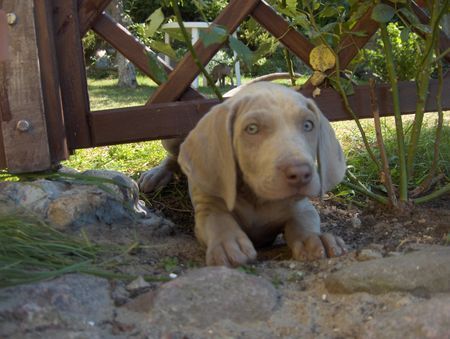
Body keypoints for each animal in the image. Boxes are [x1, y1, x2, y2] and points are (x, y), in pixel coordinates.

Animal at [139, 83, 346, 268]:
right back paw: (154, 176)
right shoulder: (208, 206)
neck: (256, 198)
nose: (301, 173)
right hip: (172, 139)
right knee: (174, 157)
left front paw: (315, 239)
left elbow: (304, 221)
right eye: (252, 129)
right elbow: (218, 221)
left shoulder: (301, 207)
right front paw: (228, 243)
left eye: (308, 125)